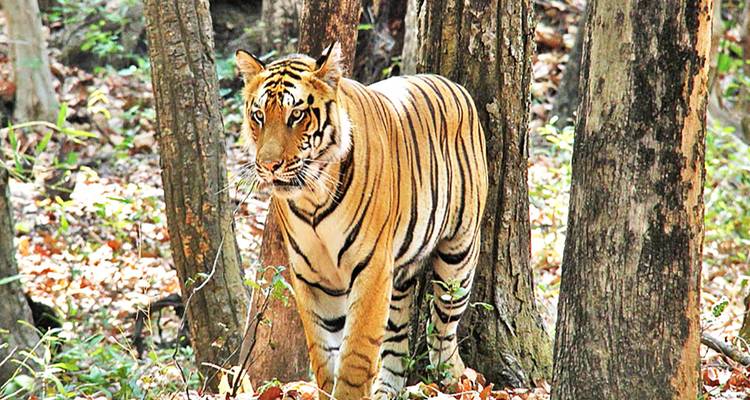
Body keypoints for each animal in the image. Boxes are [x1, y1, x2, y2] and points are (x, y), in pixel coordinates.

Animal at [235, 42, 487, 399]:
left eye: (296, 115)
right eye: (258, 115)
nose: (269, 166)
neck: (312, 198)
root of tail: (453, 84)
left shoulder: (371, 268)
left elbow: (355, 356)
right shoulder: (312, 277)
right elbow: (324, 357)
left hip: (459, 255)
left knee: (442, 327)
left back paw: (454, 380)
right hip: (401, 274)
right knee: (397, 338)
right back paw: (387, 388)